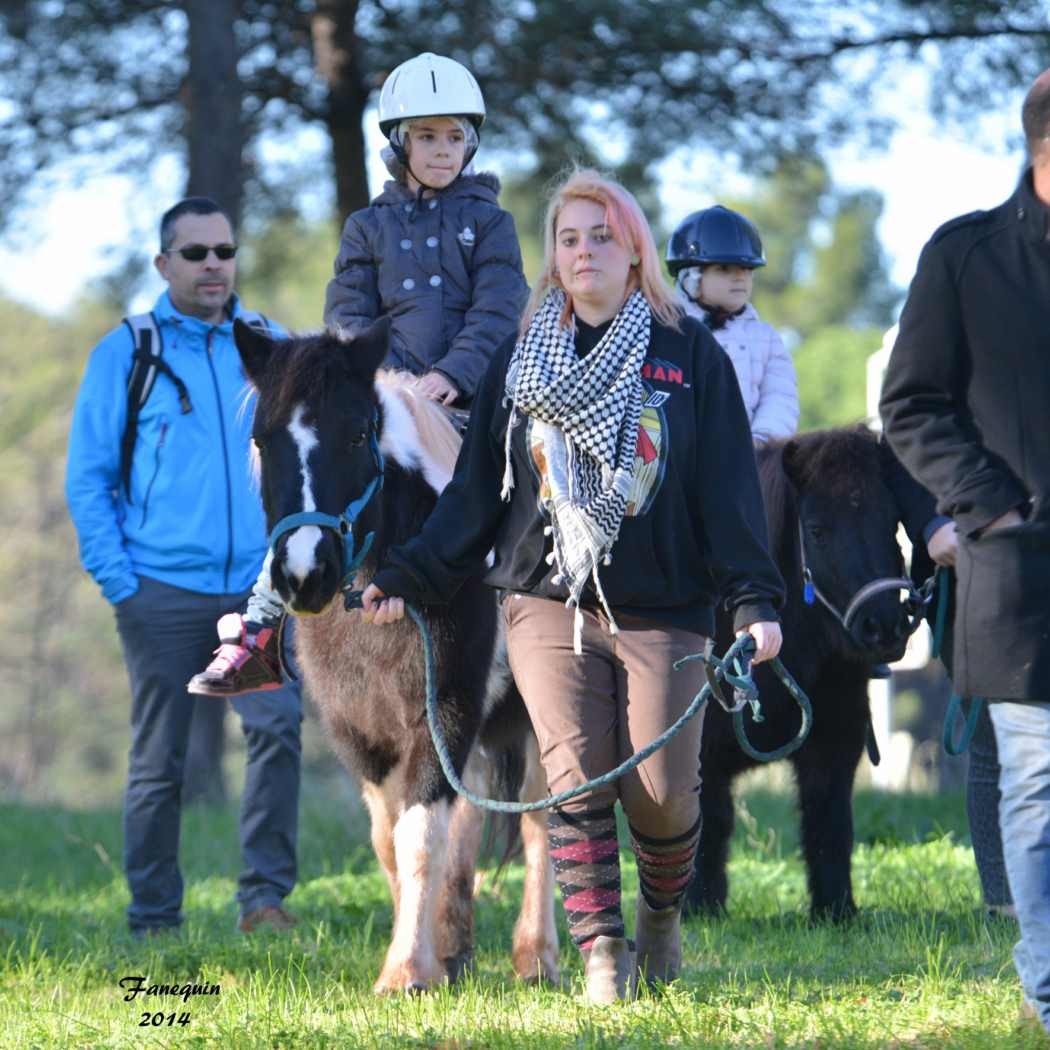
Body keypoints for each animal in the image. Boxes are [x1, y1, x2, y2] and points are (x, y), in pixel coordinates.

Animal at [688, 424, 919, 919]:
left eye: (892, 521)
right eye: (817, 530)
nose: (885, 626)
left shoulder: (835, 740)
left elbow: (829, 822)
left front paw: (836, 909)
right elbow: (706, 823)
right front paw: (700, 908)